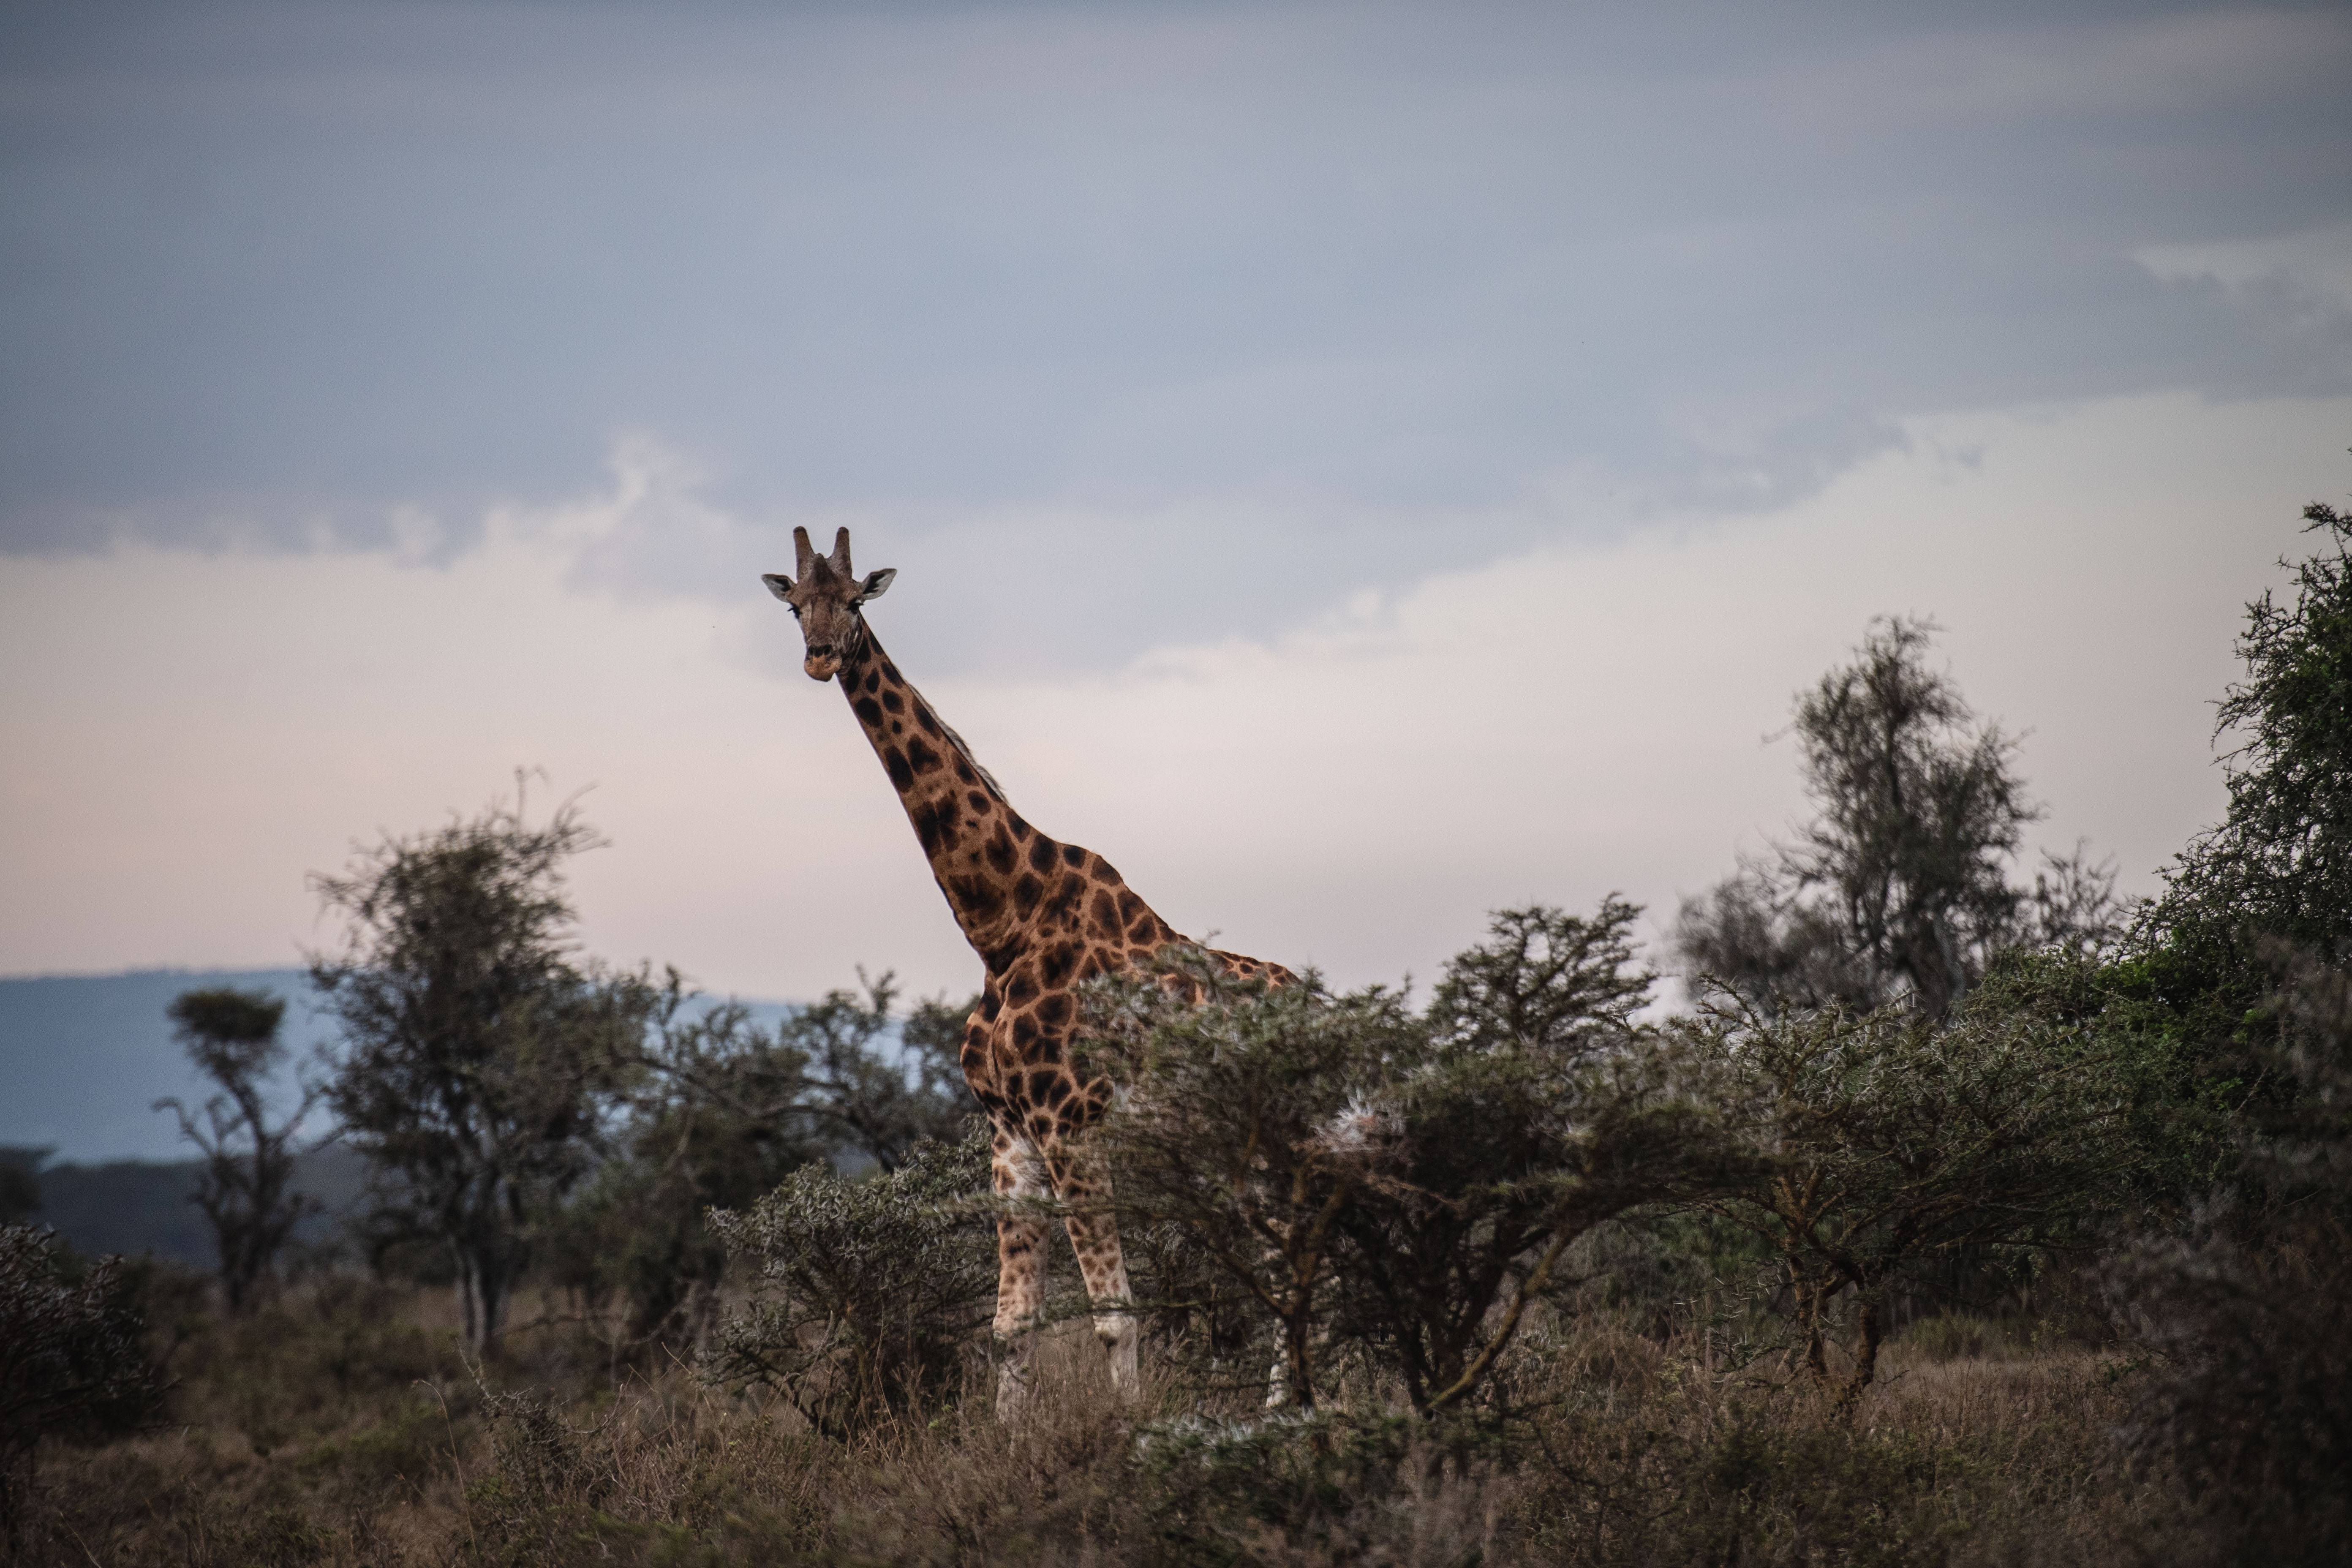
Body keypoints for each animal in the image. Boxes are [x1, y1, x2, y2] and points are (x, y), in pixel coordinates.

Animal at [767, 526, 1289, 1420]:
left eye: (857, 601)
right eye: (797, 605)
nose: (820, 657)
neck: (1000, 926)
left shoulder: (1070, 1122)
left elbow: (1112, 1313)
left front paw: (1130, 1433)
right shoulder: (1008, 1129)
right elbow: (1011, 1323)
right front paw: (1003, 1440)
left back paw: (1291, 1411)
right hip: (1239, 1148)